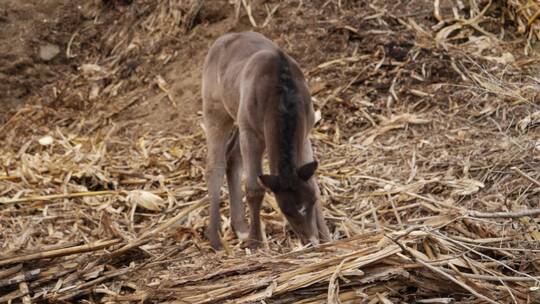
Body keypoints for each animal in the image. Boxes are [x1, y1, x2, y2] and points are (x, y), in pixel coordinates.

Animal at [201, 30, 330, 249]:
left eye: (311, 202)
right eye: (286, 211)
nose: (310, 241)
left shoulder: (305, 133)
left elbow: (314, 182)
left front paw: (326, 237)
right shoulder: (251, 134)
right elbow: (254, 188)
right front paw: (255, 242)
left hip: (239, 118)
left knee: (232, 156)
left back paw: (240, 228)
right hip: (215, 110)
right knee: (215, 165)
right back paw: (216, 239)